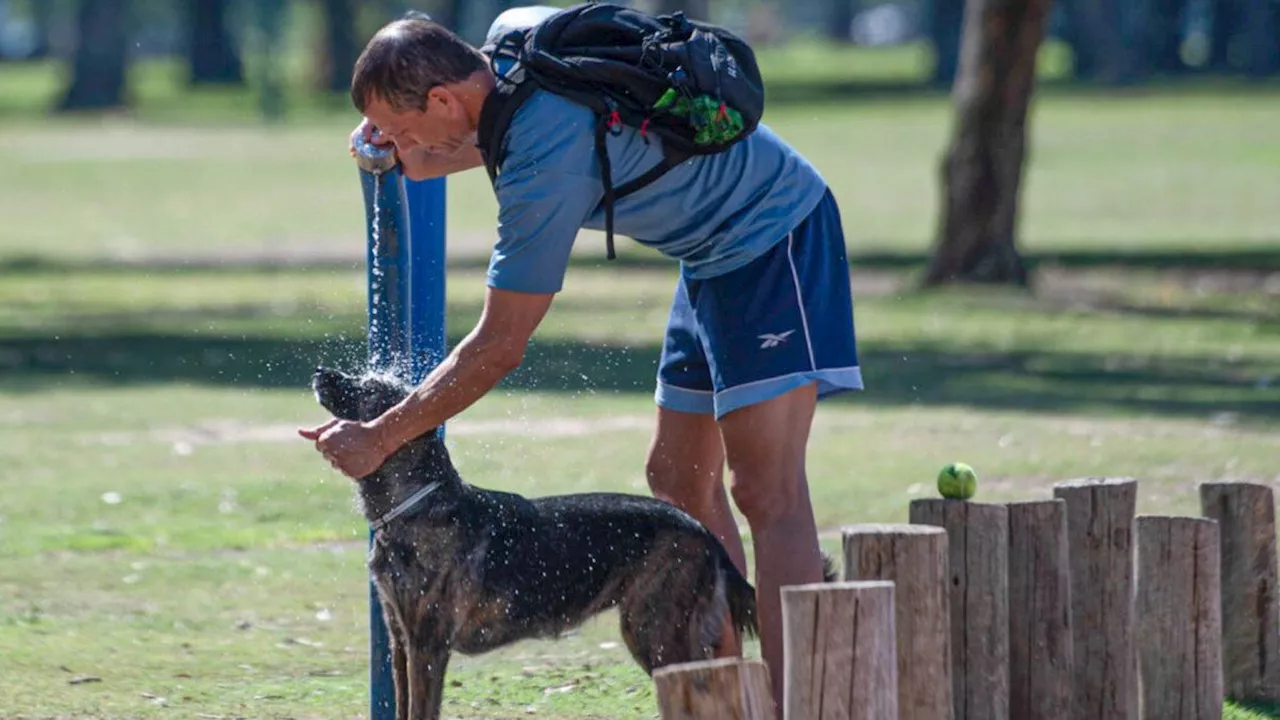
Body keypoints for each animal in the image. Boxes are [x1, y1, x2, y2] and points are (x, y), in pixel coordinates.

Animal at [311, 366, 757, 712]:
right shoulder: (400, 641)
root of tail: (702, 531)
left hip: (655, 633)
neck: (418, 503)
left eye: (368, 389)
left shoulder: (427, 645)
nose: (319, 372)